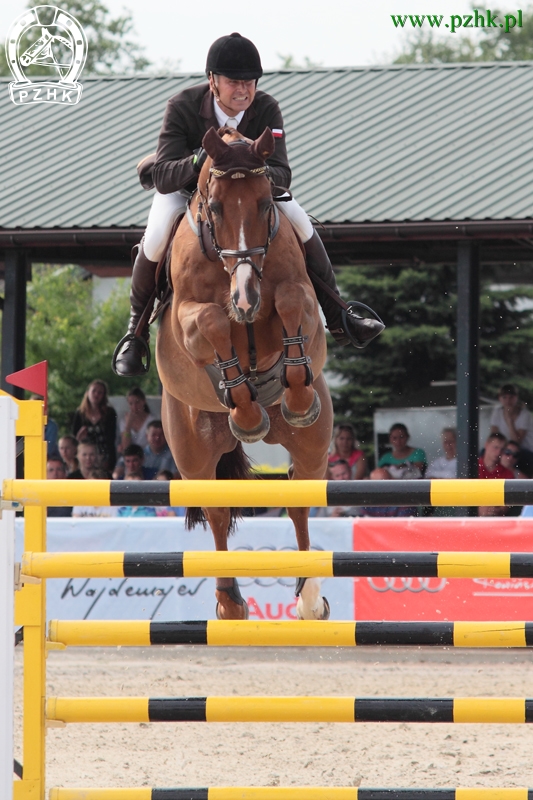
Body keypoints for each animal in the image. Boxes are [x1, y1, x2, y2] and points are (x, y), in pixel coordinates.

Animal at [154, 125, 334, 620]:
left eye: (266, 202)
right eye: (215, 207)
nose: (246, 297)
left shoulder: (299, 298)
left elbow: (290, 300)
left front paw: (295, 397)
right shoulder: (186, 319)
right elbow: (213, 321)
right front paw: (247, 408)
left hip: (313, 445)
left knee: (299, 499)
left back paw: (310, 599)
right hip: (193, 453)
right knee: (217, 513)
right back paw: (230, 603)